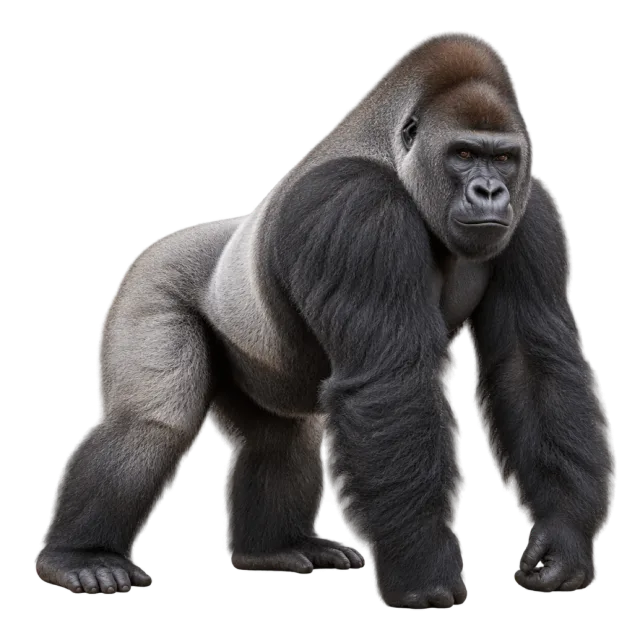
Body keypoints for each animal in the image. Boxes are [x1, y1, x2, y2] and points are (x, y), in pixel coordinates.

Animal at [34, 32, 610, 608]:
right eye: (463, 154)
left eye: (504, 158)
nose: (490, 191)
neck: (396, 155)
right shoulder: (357, 206)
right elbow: (390, 382)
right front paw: (423, 570)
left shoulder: (532, 213)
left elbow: (530, 362)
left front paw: (563, 543)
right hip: (153, 272)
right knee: (152, 419)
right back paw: (80, 558)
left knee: (284, 438)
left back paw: (274, 548)